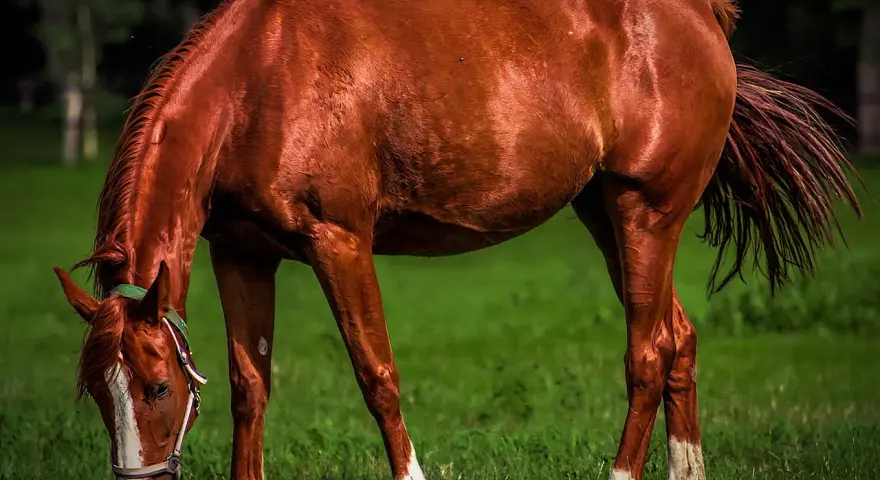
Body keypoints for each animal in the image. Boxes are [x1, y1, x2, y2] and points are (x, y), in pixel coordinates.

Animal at [52, 0, 862, 478]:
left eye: (157, 387)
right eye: (97, 391)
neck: (259, 80)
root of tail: (701, 15)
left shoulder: (339, 244)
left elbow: (377, 377)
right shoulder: (243, 254)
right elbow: (251, 387)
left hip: (647, 215)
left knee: (648, 355)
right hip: (606, 216)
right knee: (679, 340)